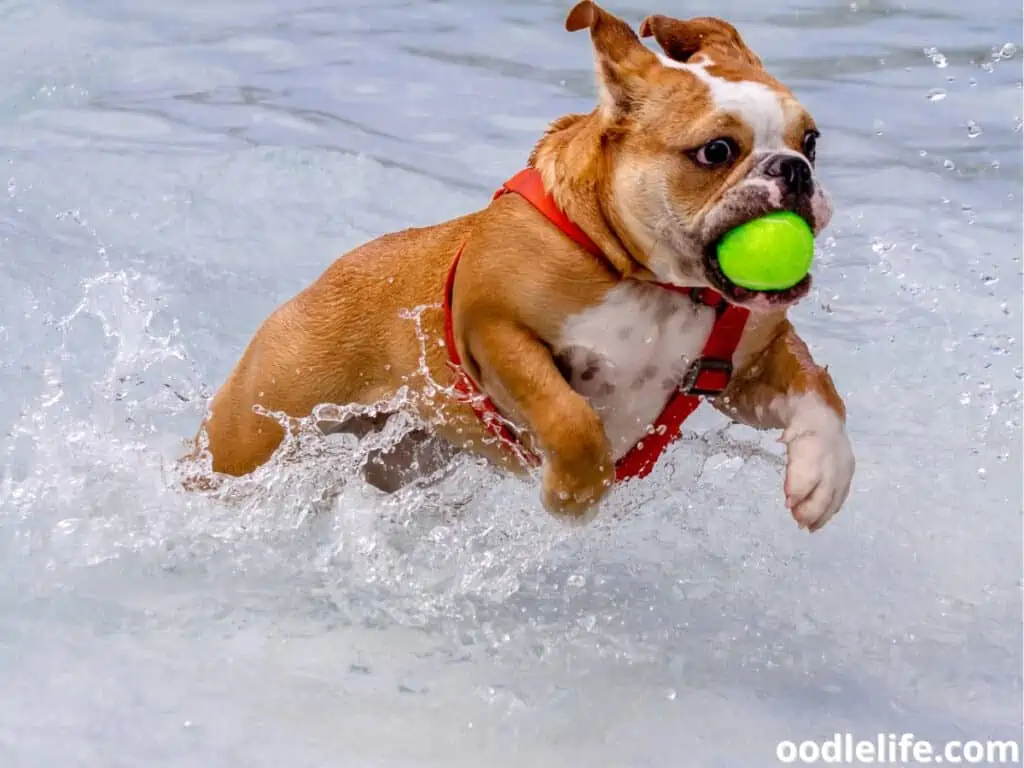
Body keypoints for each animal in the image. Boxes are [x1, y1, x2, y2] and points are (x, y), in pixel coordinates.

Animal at [186, 0, 856, 532]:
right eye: (716, 151)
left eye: (811, 140)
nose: (794, 170)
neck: (651, 281)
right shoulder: (495, 330)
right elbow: (569, 417)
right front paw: (575, 492)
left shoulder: (752, 362)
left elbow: (820, 394)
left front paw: (824, 475)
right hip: (257, 425)